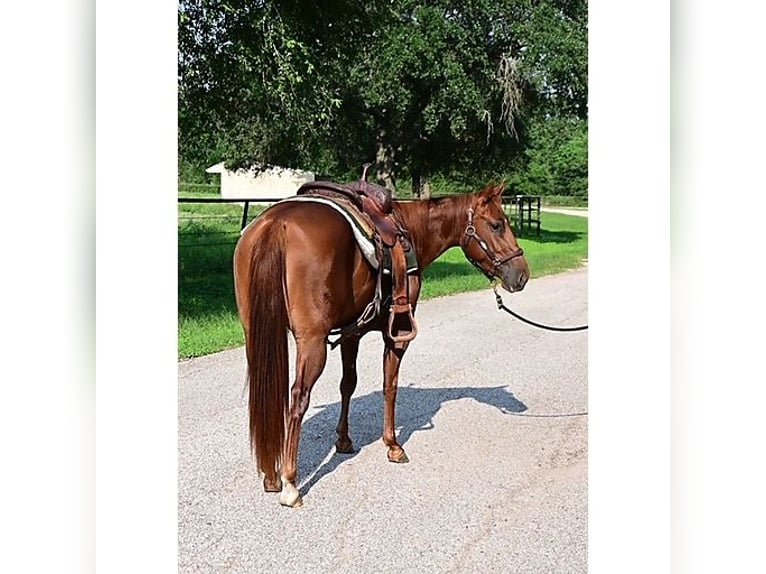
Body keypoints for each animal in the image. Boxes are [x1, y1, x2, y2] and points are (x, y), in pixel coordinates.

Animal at [232, 181, 528, 508]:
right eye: (497, 224)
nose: (522, 274)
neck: (411, 230)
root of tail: (276, 223)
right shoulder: (396, 333)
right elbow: (390, 385)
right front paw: (393, 445)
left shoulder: (351, 333)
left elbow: (348, 384)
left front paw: (344, 440)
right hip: (312, 342)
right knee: (298, 398)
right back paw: (289, 483)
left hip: (255, 334)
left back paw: (271, 475)